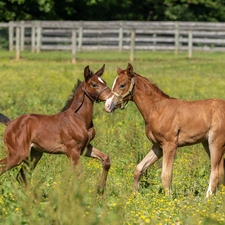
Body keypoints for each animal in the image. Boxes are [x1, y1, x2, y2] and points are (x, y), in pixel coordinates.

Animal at [0, 65, 110, 193]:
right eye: (94, 84)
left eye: (104, 82)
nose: (111, 97)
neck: (78, 118)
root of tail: (10, 123)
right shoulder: (72, 151)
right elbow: (79, 175)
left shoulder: (84, 147)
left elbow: (106, 159)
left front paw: (101, 189)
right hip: (17, 154)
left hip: (34, 154)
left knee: (21, 176)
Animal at [105, 63, 225, 197]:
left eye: (122, 85)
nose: (108, 105)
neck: (157, 110)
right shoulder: (158, 146)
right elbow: (139, 168)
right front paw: (133, 196)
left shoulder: (170, 145)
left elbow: (165, 176)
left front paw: (170, 199)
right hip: (206, 143)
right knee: (221, 170)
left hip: (216, 142)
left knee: (215, 172)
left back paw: (206, 200)